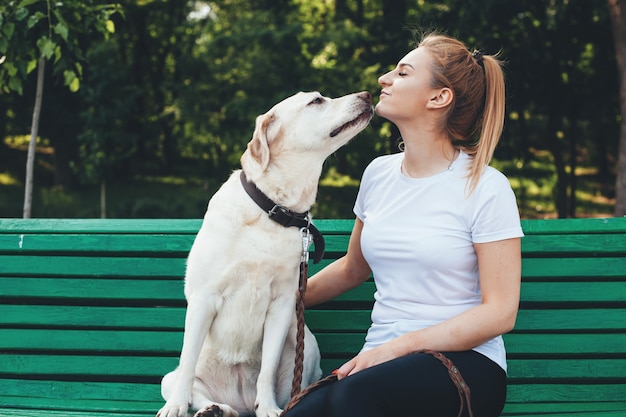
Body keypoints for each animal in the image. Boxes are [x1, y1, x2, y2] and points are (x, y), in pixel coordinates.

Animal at [158, 91, 370, 416]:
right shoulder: (204, 298)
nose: (368, 94)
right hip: (169, 378)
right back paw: (213, 408)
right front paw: (176, 406)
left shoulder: (282, 305)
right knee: (192, 383)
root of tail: (239, 400)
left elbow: (267, 370)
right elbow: (188, 360)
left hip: (306, 344)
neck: (273, 210)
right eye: (317, 101)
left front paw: (268, 407)